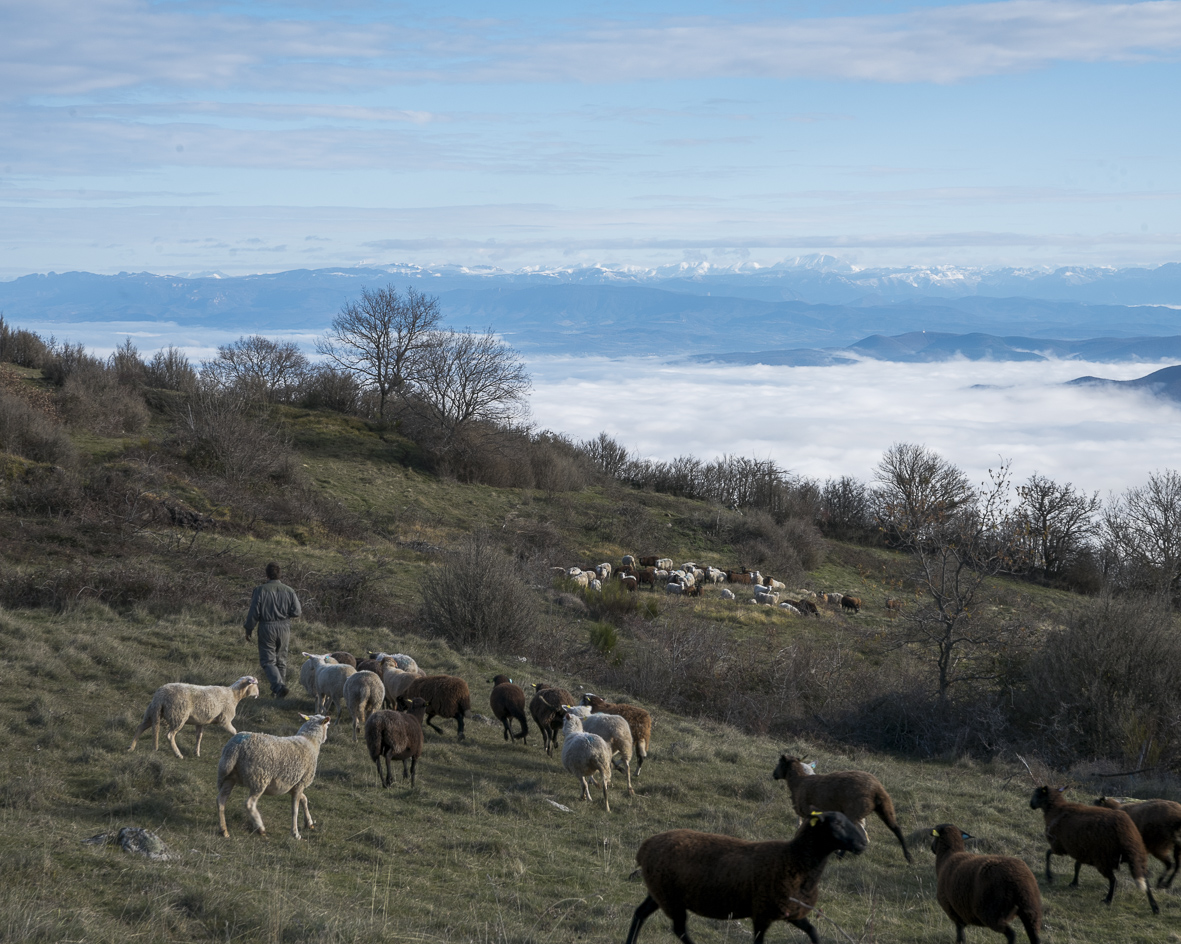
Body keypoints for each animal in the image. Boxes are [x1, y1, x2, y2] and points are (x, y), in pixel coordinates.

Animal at [128, 671, 259, 760]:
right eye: (256, 685)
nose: (258, 694)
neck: (234, 695)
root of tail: (160, 695)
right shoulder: (225, 720)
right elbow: (235, 732)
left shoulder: (201, 721)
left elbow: (199, 736)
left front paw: (197, 752)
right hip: (178, 715)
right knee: (170, 735)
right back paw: (178, 754)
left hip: (153, 713)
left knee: (140, 727)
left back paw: (131, 747)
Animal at [618, 803, 869, 944]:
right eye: (837, 824)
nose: (862, 844)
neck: (795, 859)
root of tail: (646, 846)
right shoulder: (762, 913)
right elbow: (759, 942)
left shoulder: (792, 911)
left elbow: (814, 932)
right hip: (671, 898)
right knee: (679, 930)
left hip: (659, 892)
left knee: (640, 914)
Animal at [774, 751, 911, 864]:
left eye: (780, 763)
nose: (773, 775)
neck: (799, 781)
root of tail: (876, 789)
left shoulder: (810, 812)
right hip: (884, 805)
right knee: (896, 829)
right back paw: (908, 857)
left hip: (854, 810)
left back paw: (841, 855)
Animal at [1029, 784, 1157, 912]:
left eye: (1037, 794)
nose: (1031, 805)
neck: (1056, 810)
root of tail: (1126, 832)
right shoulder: (1081, 849)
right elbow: (1077, 866)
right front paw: (1074, 883)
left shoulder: (1059, 846)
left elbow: (1048, 853)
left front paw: (1049, 876)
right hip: (1137, 856)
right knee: (1145, 882)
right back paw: (1155, 907)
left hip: (1103, 859)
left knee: (1114, 880)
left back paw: (1108, 900)